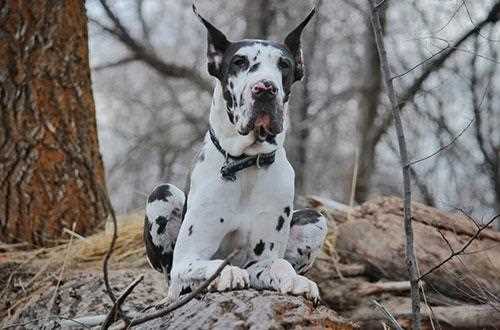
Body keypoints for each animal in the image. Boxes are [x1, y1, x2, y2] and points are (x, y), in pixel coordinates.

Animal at [143, 5, 326, 302]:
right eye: (240, 62)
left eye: (284, 65)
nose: (264, 88)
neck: (246, 165)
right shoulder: (186, 260)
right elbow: (205, 265)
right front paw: (224, 273)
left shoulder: (259, 260)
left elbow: (279, 264)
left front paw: (296, 280)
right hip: (162, 193)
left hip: (316, 219)